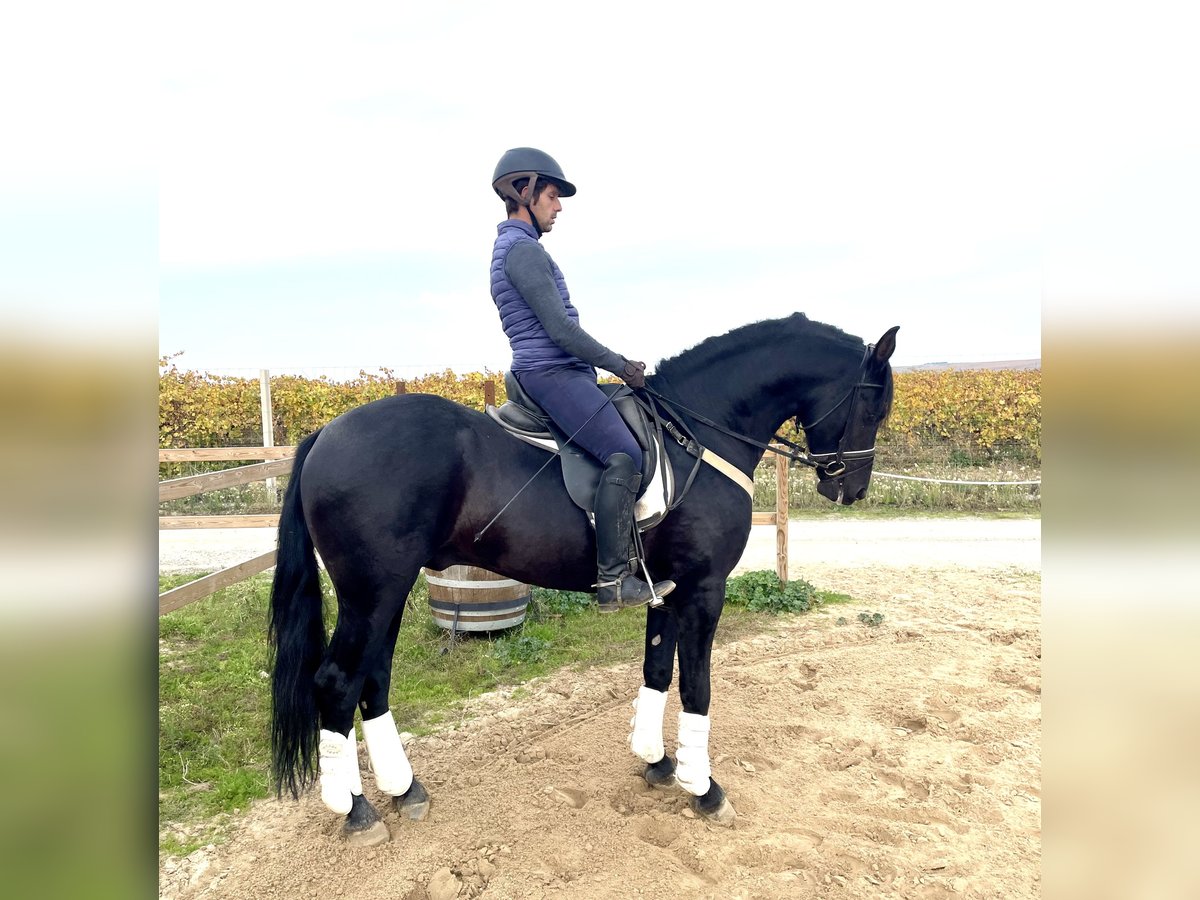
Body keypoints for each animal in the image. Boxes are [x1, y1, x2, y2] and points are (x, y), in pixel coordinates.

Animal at [267, 312, 897, 844]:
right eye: (875, 409)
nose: (852, 488)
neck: (698, 430)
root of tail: (325, 434)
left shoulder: (666, 590)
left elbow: (656, 669)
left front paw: (657, 763)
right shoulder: (703, 588)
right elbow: (696, 686)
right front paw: (704, 789)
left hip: (386, 593)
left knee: (372, 679)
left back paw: (404, 790)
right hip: (372, 592)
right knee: (337, 682)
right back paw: (356, 810)